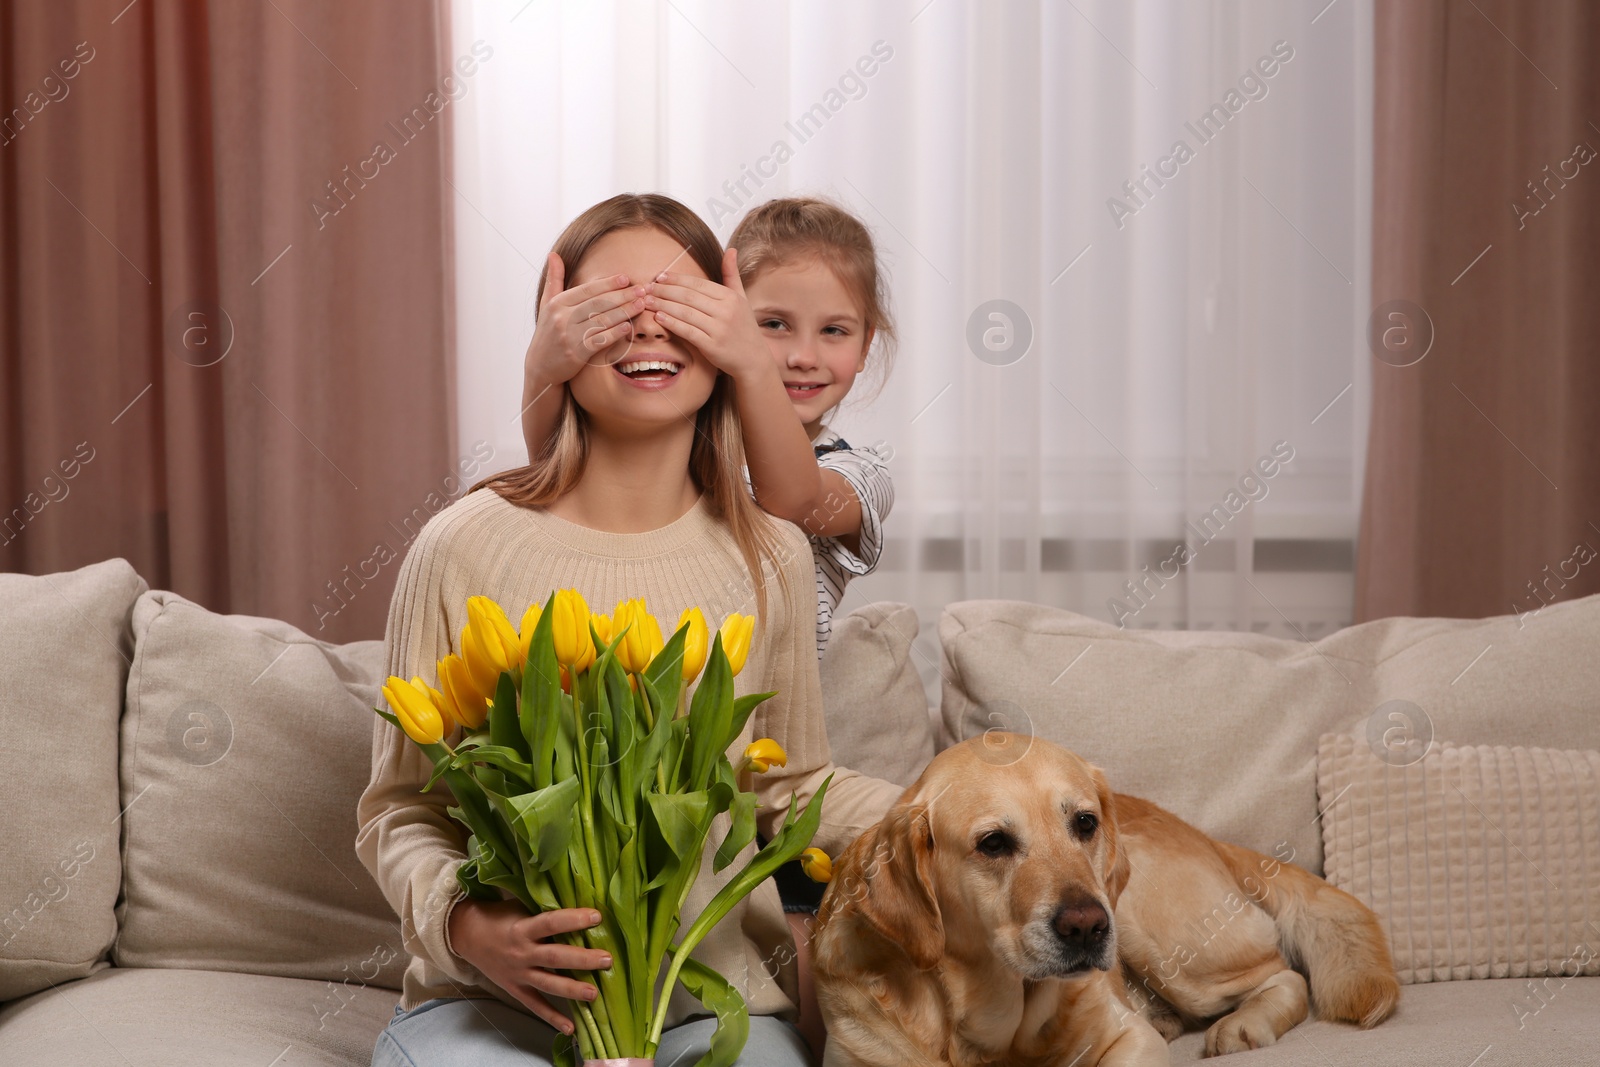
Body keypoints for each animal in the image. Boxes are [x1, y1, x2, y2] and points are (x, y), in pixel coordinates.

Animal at [819, 735, 1395, 1067]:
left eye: (1084, 823)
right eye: (993, 844)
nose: (1087, 927)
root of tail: (1207, 836)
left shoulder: (1129, 1042)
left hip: (1163, 939)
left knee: (1283, 973)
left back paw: (1244, 1024)